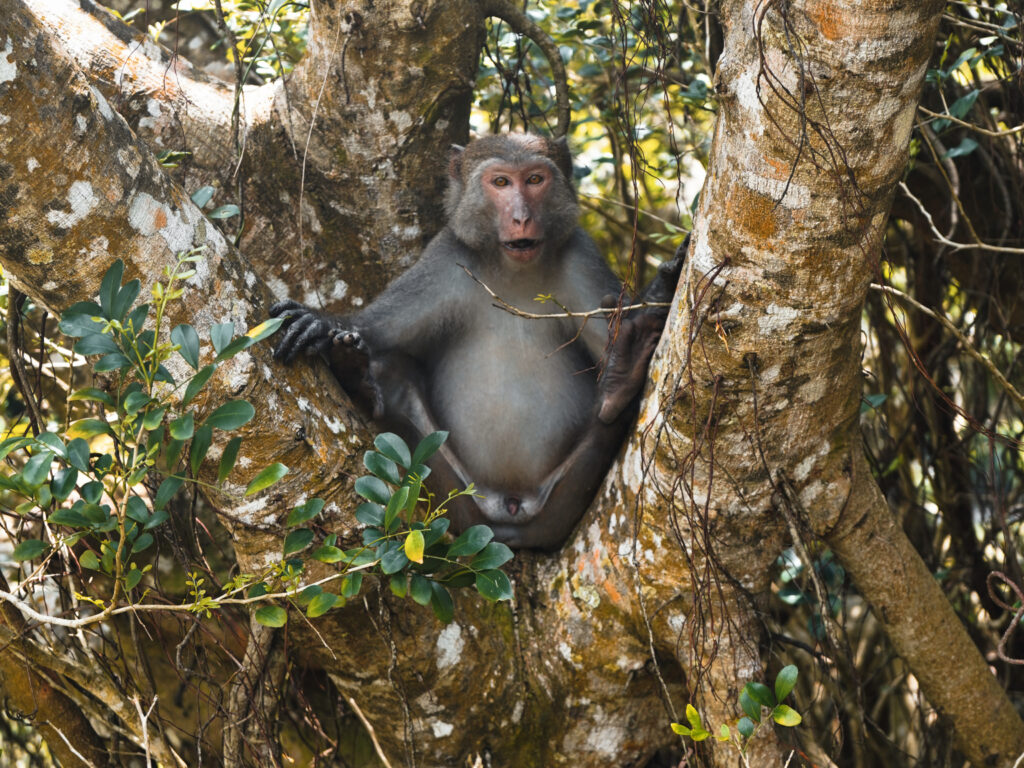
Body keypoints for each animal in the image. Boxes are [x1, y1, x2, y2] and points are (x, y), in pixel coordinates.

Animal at [271, 134, 684, 550]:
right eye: (501, 182)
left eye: (534, 179)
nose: (521, 217)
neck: (513, 268)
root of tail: (511, 511)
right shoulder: (445, 260)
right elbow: (375, 329)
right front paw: (323, 326)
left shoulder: (581, 256)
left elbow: (608, 337)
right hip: (453, 499)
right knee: (391, 368)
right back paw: (359, 377)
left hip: (561, 505)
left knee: (610, 416)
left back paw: (622, 376)